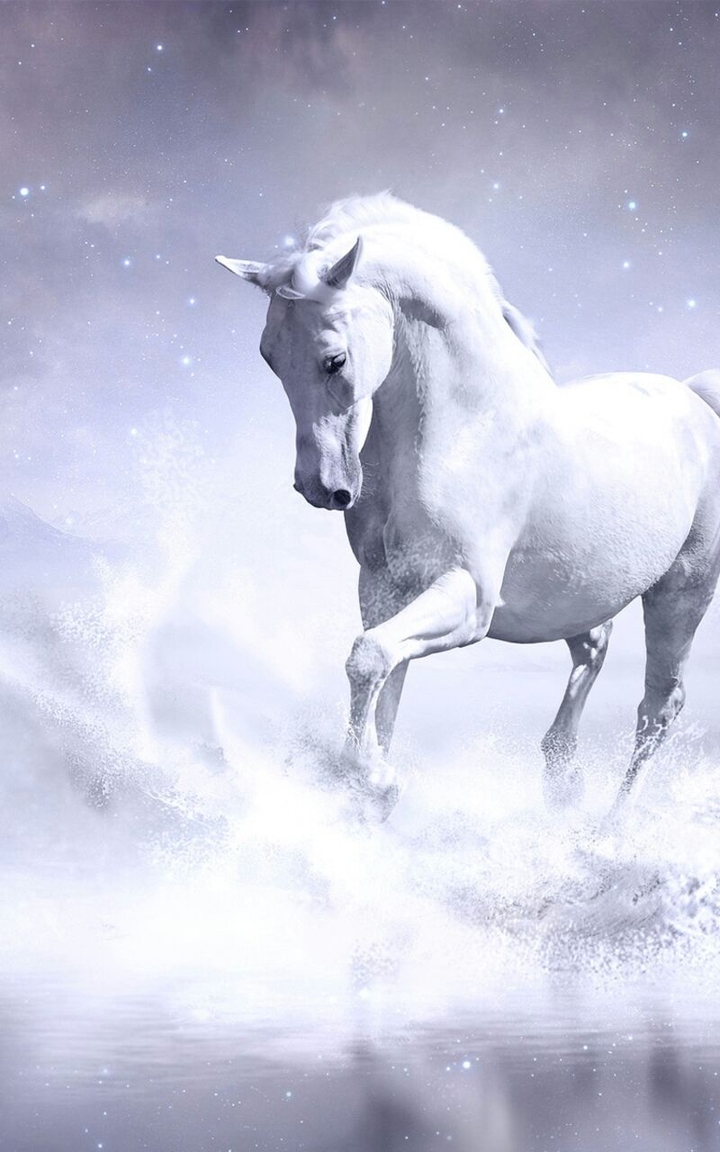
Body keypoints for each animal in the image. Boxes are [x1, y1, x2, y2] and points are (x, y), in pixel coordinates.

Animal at [216, 192, 720, 819]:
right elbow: (385, 677)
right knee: (595, 648)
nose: (322, 487)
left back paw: (611, 825)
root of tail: (696, 399)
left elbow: (368, 658)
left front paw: (374, 779)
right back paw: (563, 779)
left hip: (682, 592)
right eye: (269, 357)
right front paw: (372, 787)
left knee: (658, 707)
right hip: (575, 593)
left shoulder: (468, 596)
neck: (465, 427)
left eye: (334, 360)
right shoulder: (386, 590)